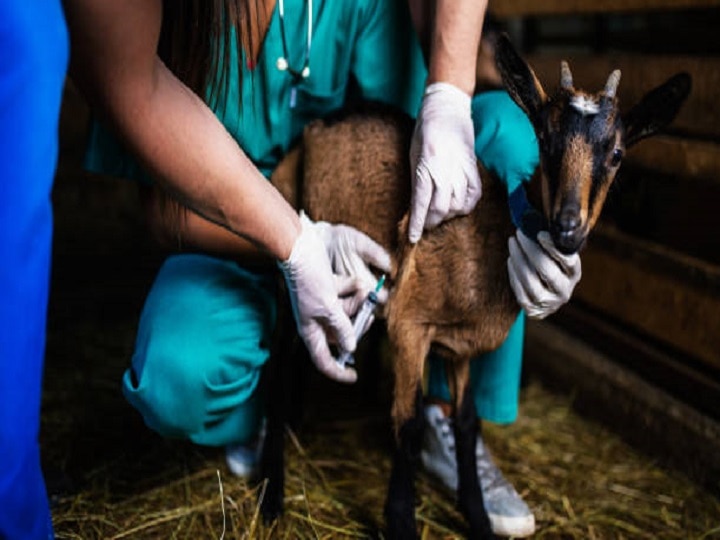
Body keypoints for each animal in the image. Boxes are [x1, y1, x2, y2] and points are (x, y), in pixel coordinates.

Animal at [260, 34, 692, 540]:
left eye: (617, 154)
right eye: (544, 139)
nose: (568, 227)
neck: (488, 242)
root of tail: (320, 124)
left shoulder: (459, 345)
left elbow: (467, 424)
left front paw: (480, 518)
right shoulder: (409, 325)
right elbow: (408, 424)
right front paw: (401, 520)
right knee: (279, 363)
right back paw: (272, 495)